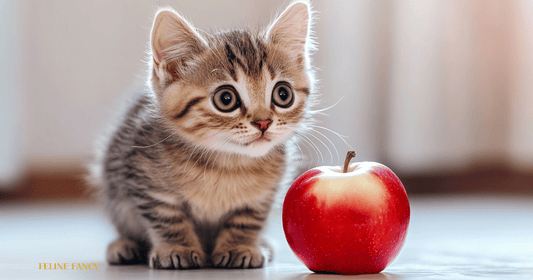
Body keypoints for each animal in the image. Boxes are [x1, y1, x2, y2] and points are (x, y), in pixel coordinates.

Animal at [89, 1, 316, 270]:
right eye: (226, 99)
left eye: (283, 94)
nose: (264, 122)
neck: (227, 165)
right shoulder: (147, 181)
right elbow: (168, 219)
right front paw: (178, 248)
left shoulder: (263, 196)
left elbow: (247, 219)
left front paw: (239, 246)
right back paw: (125, 246)